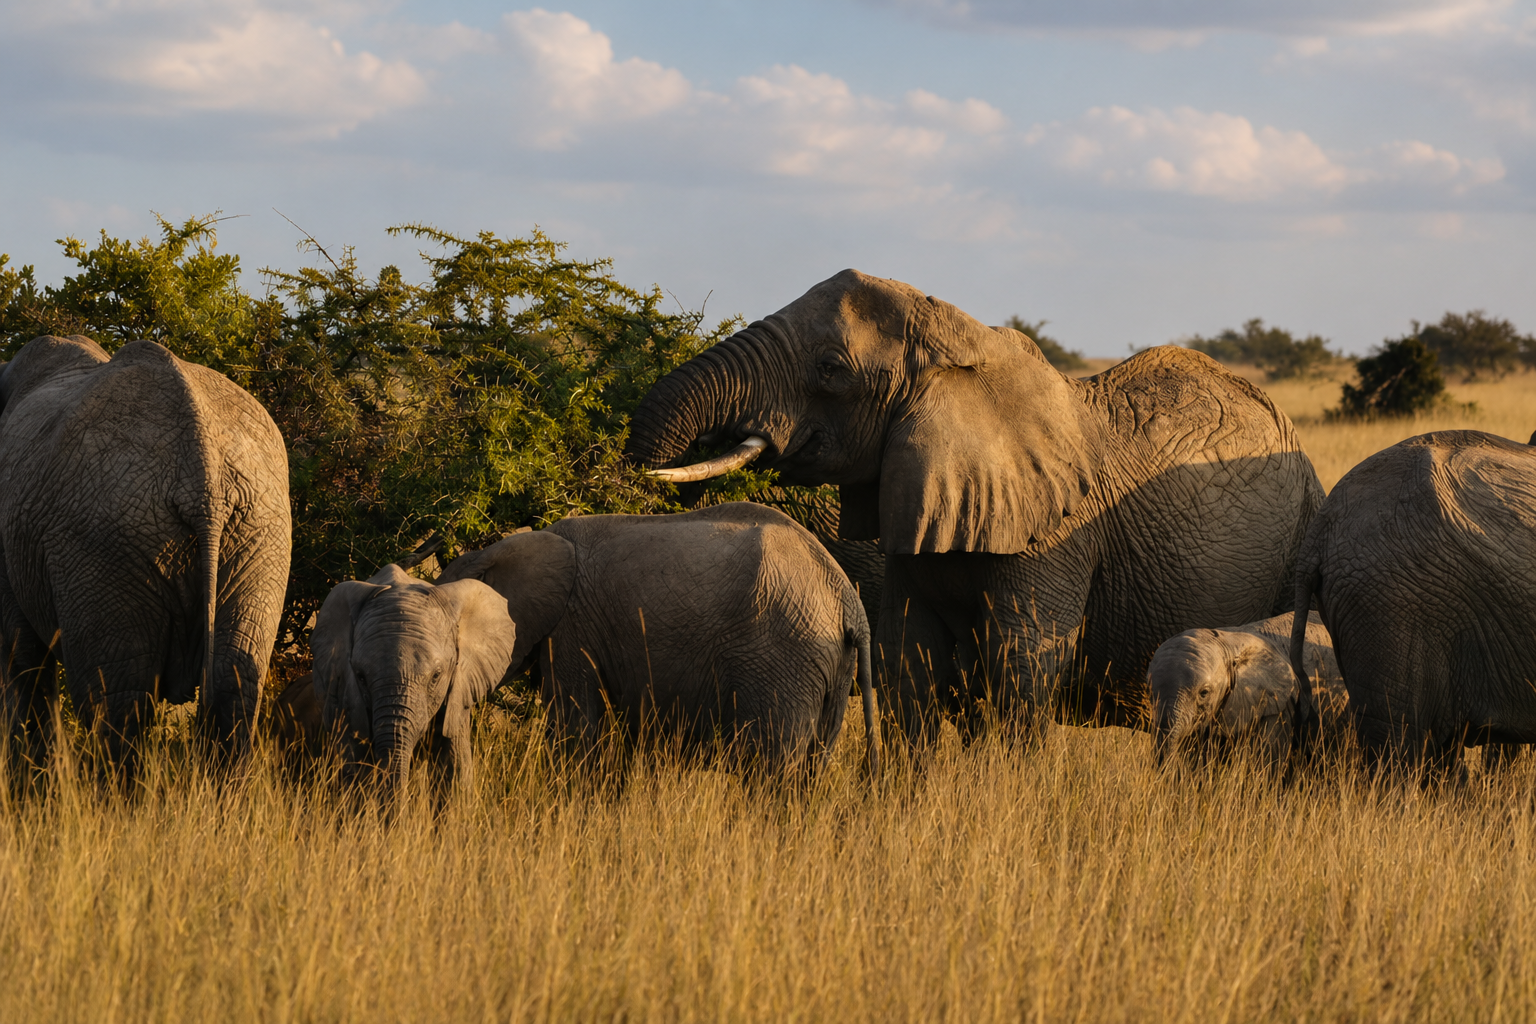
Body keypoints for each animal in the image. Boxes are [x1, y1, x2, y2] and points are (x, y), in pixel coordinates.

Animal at [0, 335, 291, 779]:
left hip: (104, 541)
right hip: (260, 530)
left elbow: (21, 655)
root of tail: (203, 476)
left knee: (119, 697)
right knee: (234, 683)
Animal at [312, 503, 879, 791]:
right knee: (810, 769)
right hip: (827, 664)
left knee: (774, 770)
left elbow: (576, 729)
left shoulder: (574, 630)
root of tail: (847, 598)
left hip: (783, 654)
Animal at [625, 270, 1324, 746]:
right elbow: (908, 654)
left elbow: (1019, 669)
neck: (962, 349)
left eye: (830, 369)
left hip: (1301, 535)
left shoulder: (1058, 535)